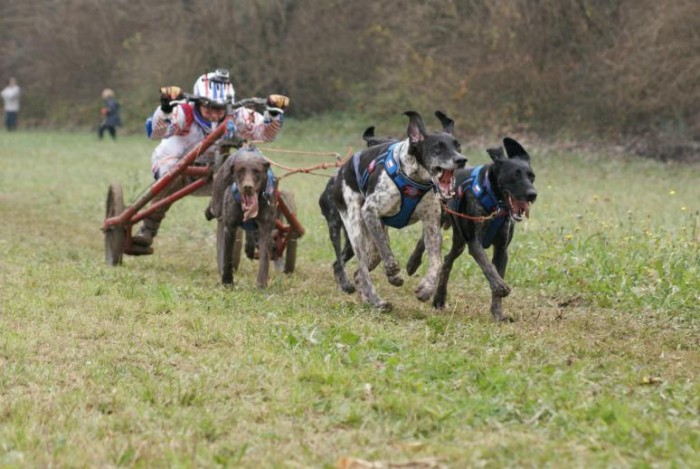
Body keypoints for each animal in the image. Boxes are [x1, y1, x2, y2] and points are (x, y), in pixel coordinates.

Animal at [330, 110, 468, 310]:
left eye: (458, 146)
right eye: (437, 147)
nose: (461, 160)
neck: (414, 178)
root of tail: (342, 169)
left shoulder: (432, 226)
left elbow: (437, 261)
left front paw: (426, 289)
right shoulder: (370, 211)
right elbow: (385, 249)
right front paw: (392, 267)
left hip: (373, 239)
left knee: (360, 272)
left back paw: (372, 298)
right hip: (356, 229)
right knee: (364, 269)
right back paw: (378, 300)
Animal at [432, 137, 536, 320]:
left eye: (532, 177)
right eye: (514, 175)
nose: (533, 194)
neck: (496, 201)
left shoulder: (502, 250)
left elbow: (495, 271)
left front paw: (498, 313)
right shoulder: (475, 242)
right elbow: (488, 267)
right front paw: (501, 286)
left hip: (459, 241)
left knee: (447, 260)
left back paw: (440, 297)